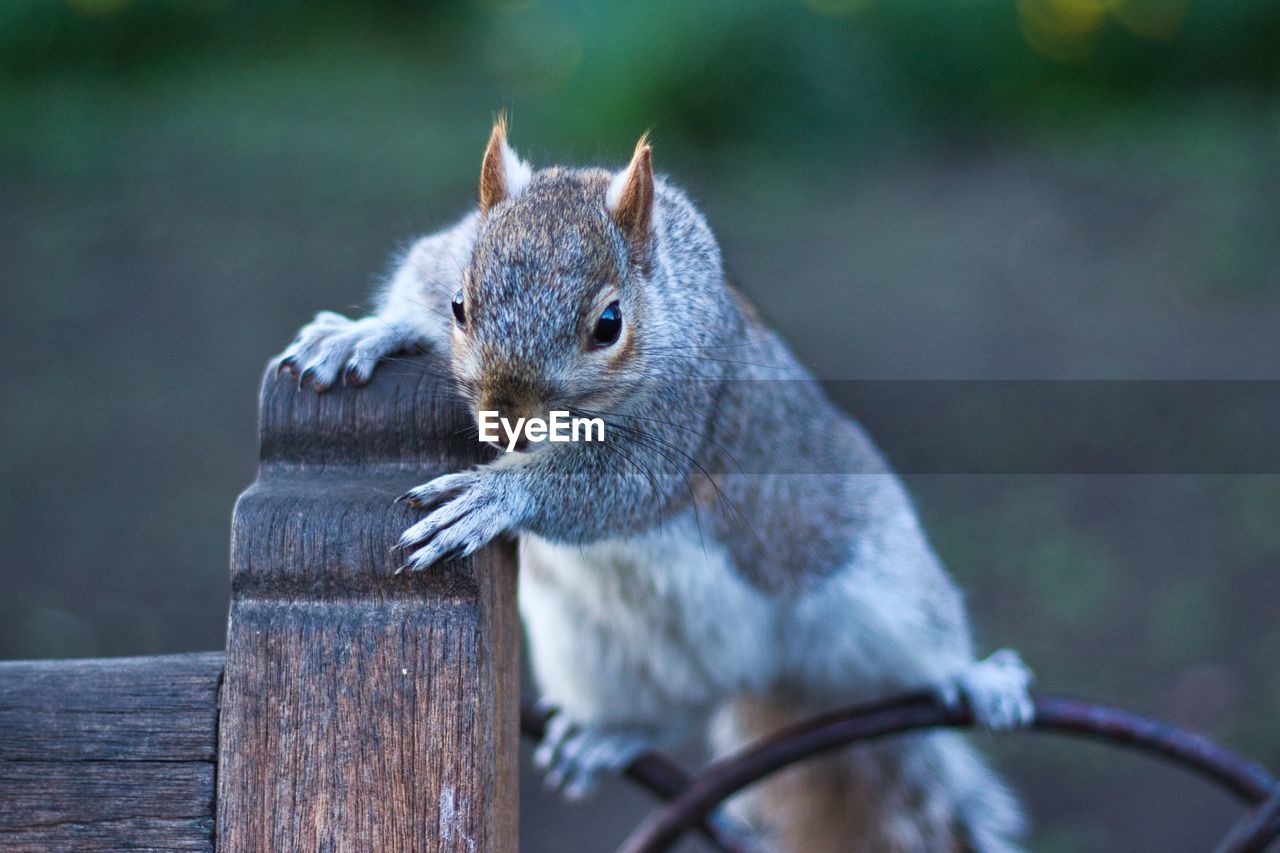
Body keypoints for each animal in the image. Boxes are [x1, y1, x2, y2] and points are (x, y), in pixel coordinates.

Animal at [275, 117, 1034, 850]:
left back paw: (976, 677)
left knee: (914, 646)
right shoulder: (440, 257)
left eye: (609, 325)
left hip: (880, 584)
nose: (505, 419)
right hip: (589, 643)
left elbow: (617, 488)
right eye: (459, 305)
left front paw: (494, 496)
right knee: (669, 710)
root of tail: (766, 672)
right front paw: (362, 333)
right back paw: (609, 736)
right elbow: (410, 287)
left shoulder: (684, 415)